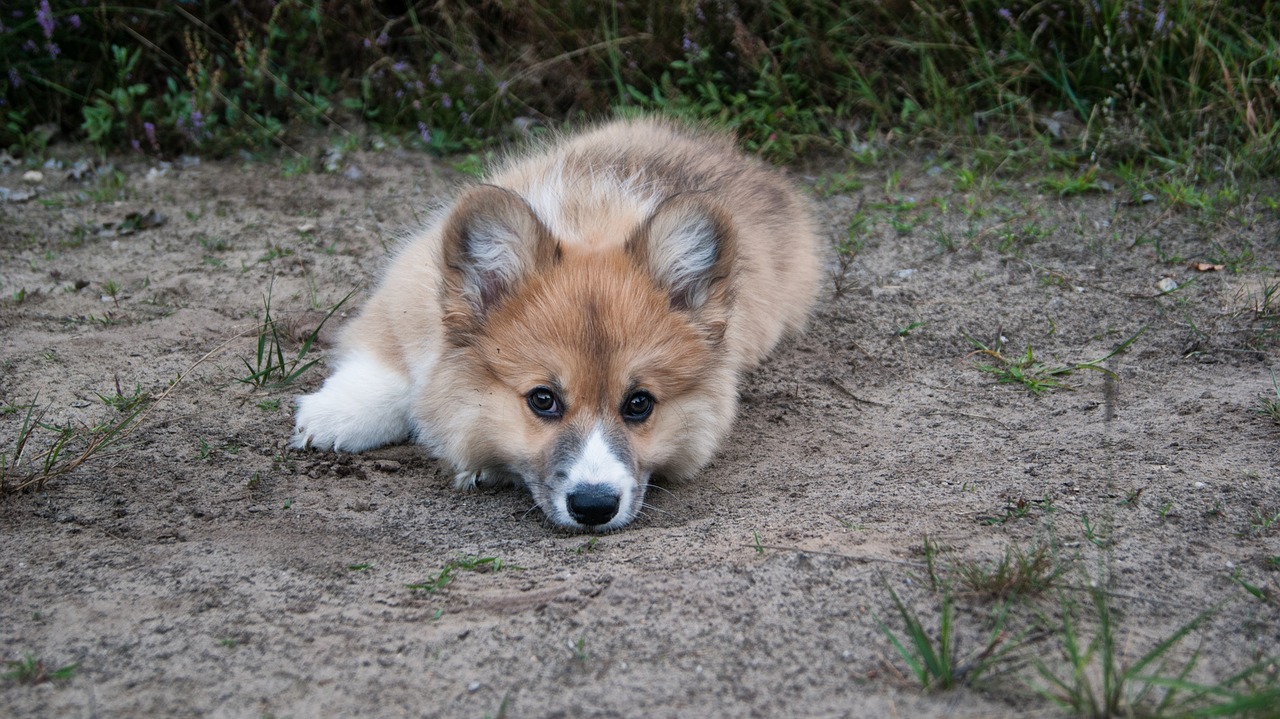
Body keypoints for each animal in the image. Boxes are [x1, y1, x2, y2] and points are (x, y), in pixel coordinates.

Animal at [290, 117, 819, 529]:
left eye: (639, 404)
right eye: (543, 400)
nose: (594, 507)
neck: (589, 227)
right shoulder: (407, 294)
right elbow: (392, 367)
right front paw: (334, 414)